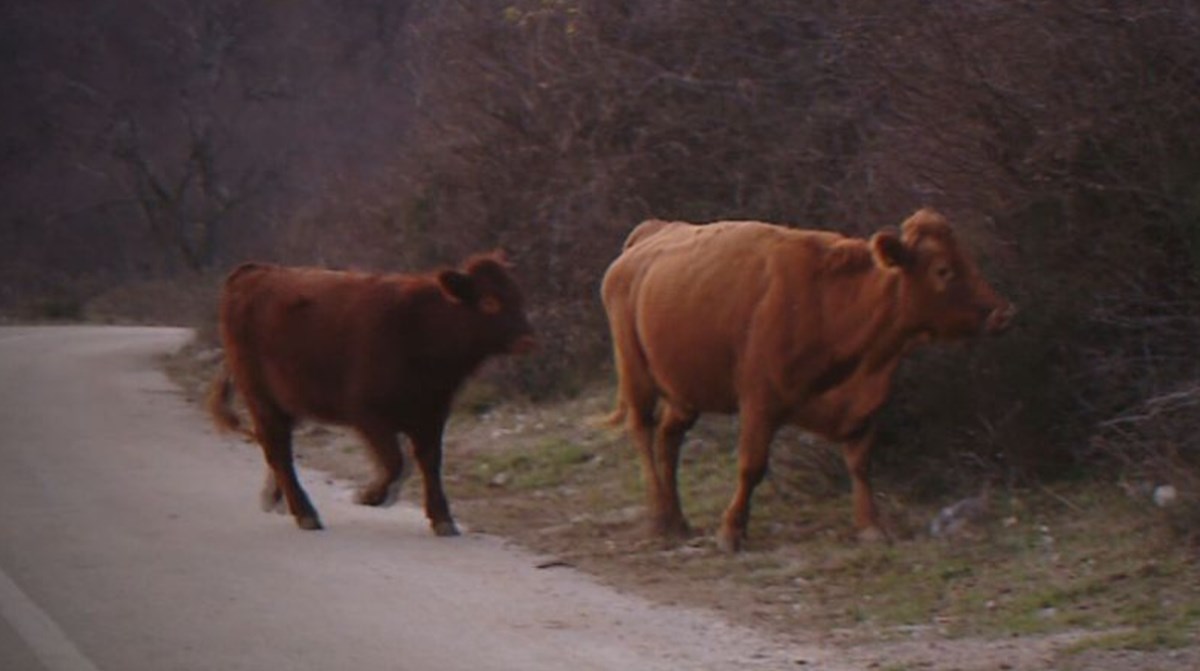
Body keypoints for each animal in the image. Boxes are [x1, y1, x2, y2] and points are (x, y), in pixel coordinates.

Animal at [207, 252, 535, 535]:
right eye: (490, 301)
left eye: (520, 297)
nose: (528, 339)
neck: (421, 328)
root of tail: (253, 271)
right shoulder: (368, 414)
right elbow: (395, 462)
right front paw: (370, 495)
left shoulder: (431, 416)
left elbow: (429, 462)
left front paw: (442, 518)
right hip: (261, 398)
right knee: (278, 450)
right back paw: (305, 513)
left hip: (285, 404)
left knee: (276, 447)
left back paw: (275, 498)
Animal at [600, 208, 1012, 552]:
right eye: (943, 270)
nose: (1002, 313)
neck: (831, 303)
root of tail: (651, 234)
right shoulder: (759, 402)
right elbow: (752, 465)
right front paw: (732, 530)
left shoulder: (860, 407)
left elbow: (860, 463)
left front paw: (871, 526)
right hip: (636, 371)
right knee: (643, 432)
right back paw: (659, 517)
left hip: (684, 391)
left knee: (669, 439)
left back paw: (676, 519)